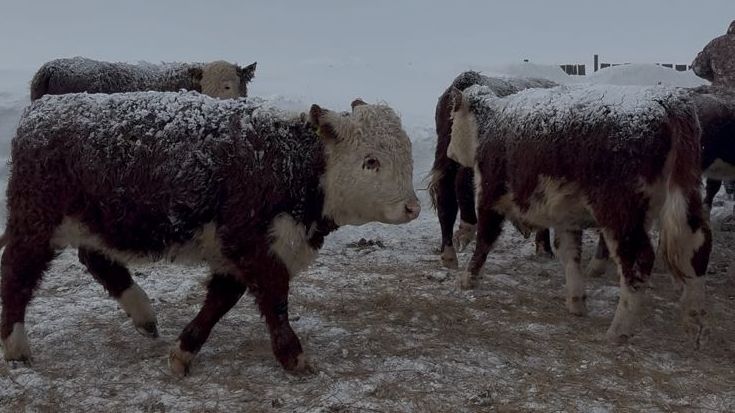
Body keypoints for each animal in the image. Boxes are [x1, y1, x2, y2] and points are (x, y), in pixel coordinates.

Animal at [0, 91, 420, 374]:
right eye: (370, 161)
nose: (412, 208)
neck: (291, 163)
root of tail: (40, 111)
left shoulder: (237, 251)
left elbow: (221, 299)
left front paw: (184, 350)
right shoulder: (249, 242)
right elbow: (274, 296)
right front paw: (294, 356)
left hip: (95, 222)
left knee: (95, 258)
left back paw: (144, 315)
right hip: (36, 221)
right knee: (17, 272)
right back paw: (16, 346)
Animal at [448, 83, 712, 344]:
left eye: (452, 121)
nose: (449, 152)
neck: (491, 123)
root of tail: (668, 100)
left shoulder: (489, 198)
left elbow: (484, 241)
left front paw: (467, 278)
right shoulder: (566, 219)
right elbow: (570, 254)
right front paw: (576, 302)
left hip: (619, 213)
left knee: (638, 260)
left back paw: (619, 330)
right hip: (678, 201)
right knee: (696, 247)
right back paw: (693, 320)